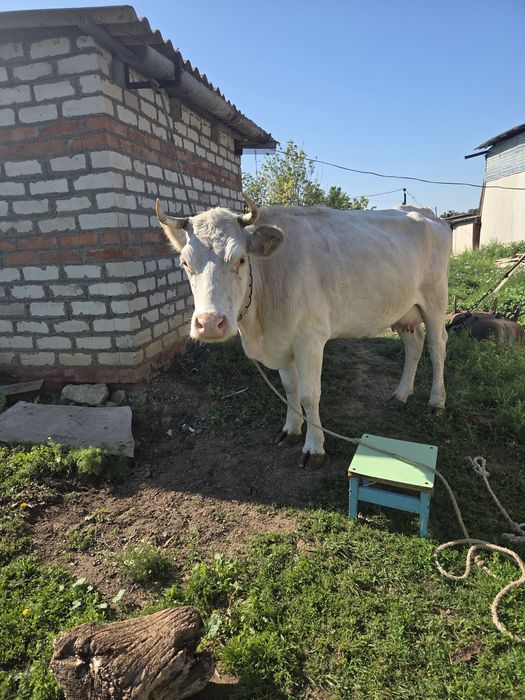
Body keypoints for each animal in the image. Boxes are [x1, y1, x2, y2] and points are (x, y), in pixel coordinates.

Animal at [156, 197, 451, 469]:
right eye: (185, 263)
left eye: (240, 259)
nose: (209, 323)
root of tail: (427, 213)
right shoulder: (281, 340)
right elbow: (290, 389)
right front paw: (291, 430)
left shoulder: (310, 340)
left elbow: (309, 394)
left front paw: (314, 448)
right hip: (403, 309)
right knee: (414, 344)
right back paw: (401, 394)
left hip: (435, 301)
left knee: (436, 346)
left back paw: (437, 402)